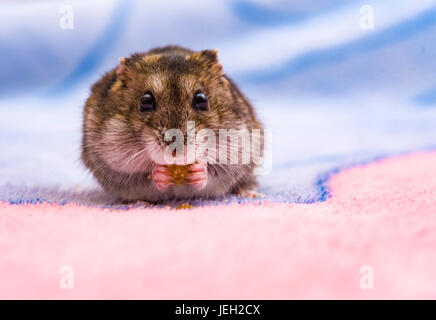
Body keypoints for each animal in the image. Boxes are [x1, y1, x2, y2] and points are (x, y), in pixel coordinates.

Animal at [83, 45, 264, 202]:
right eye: (145, 101)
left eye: (201, 99)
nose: (175, 153)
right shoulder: (115, 163)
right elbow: (145, 176)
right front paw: (159, 172)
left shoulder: (236, 154)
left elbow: (214, 172)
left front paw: (199, 170)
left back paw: (251, 193)